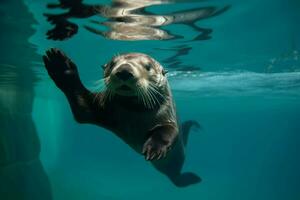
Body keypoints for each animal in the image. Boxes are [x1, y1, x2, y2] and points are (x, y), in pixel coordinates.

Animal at [42, 48, 200, 188]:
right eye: (112, 64)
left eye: (148, 66)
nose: (124, 71)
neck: (134, 114)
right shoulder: (102, 106)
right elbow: (82, 109)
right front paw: (60, 65)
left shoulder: (167, 115)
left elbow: (168, 131)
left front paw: (154, 147)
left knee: (176, 177)